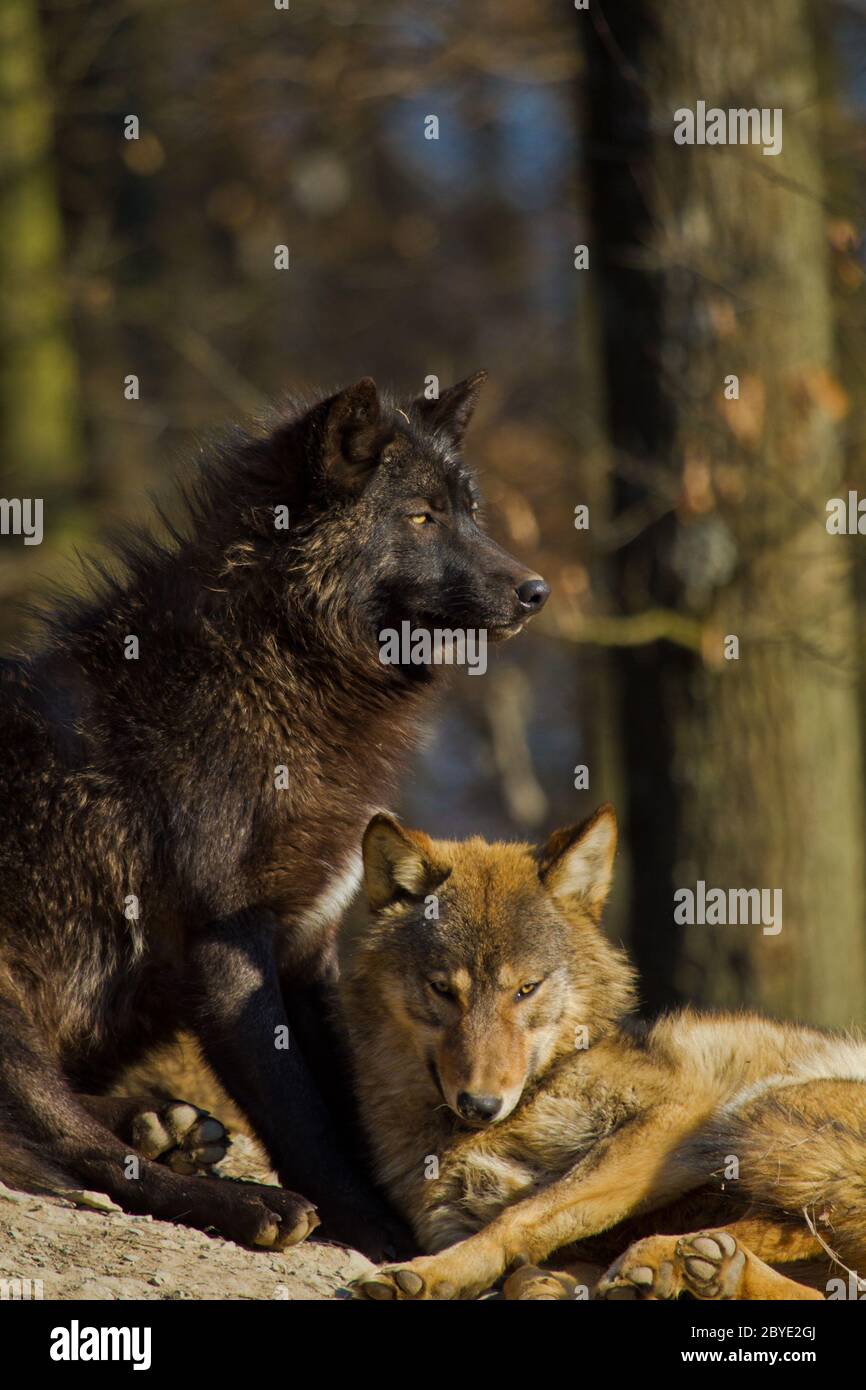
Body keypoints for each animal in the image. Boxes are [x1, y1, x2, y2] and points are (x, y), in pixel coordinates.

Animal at [346, 811, 866, 1295]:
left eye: (526, 989)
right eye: (442, 990)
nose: (480, 1105)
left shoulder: (680, 1116)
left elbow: (523, 1216)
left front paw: (432, 1271)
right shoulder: (453, 1218)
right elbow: (525, 1258)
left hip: (756, 1113)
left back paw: (678, 1263)